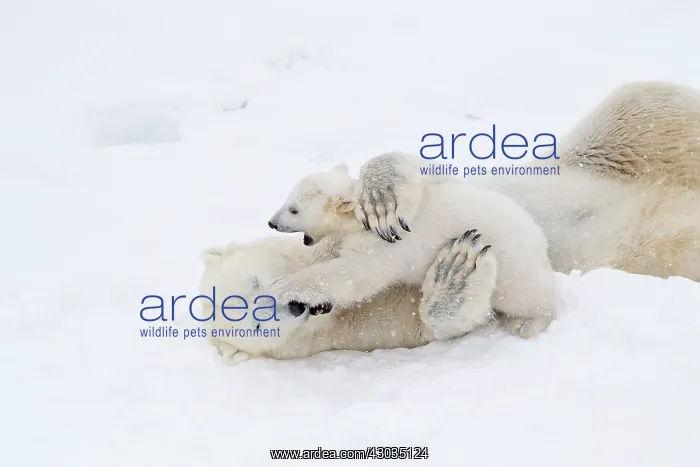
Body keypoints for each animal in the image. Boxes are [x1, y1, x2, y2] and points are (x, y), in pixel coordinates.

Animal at [199, 230, 498, 363]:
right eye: (258, 326)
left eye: (256, 281)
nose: (295, 306)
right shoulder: (362, 332)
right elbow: (426, 324)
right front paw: (458, 266)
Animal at [267, 164, 558, 339]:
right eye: (287, 198)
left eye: (294, 209)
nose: (272, 222)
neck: (362, 218)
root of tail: (540, 240)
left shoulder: (384, 242)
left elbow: (354, 275)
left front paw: (282, 286)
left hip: (513, 265)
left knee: (526, 295)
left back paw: (528, 322)